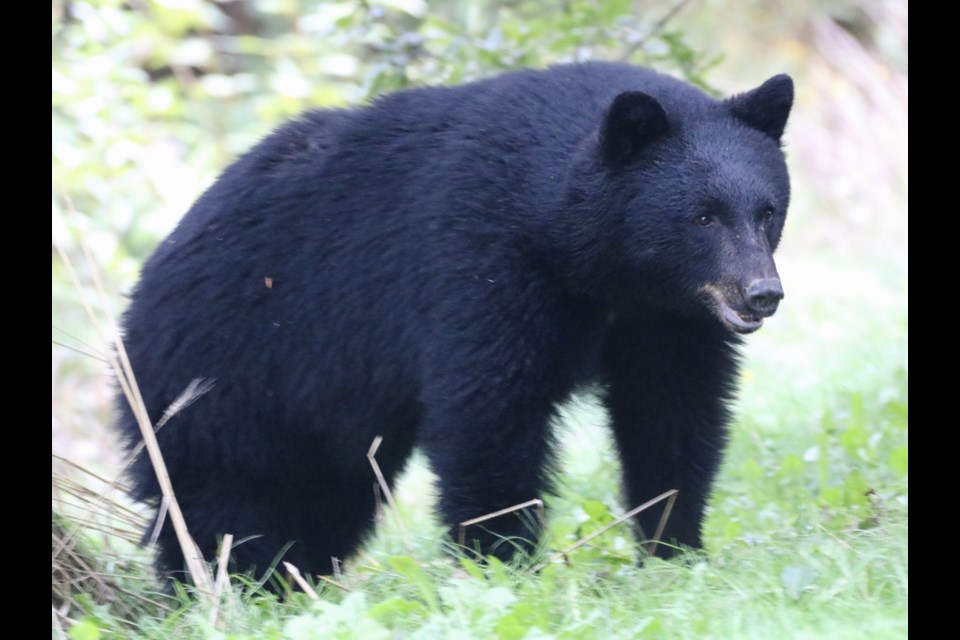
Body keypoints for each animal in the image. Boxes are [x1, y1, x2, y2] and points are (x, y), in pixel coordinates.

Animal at [118, 61, 796, 584]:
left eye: (767, 211)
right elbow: (489, 411)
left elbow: (673, 413)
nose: (763, 294)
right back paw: (230, 587)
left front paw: (675, 550)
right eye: (703, 217)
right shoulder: (479, 265)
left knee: (324, 501)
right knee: (219, 504)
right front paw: (502, 563)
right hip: (223, 379)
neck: (599, 267)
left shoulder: (665, 317)